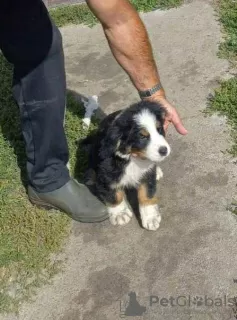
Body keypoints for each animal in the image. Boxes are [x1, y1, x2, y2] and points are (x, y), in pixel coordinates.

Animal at [82, 100, 170, 230]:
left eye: (159, 129)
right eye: (142, 136)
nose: (164, 151)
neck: (133, 157)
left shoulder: (146, 174)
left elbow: (146, 193)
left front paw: (150, 217)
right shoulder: (106, 172)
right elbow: (114, 195)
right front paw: (120, 214)